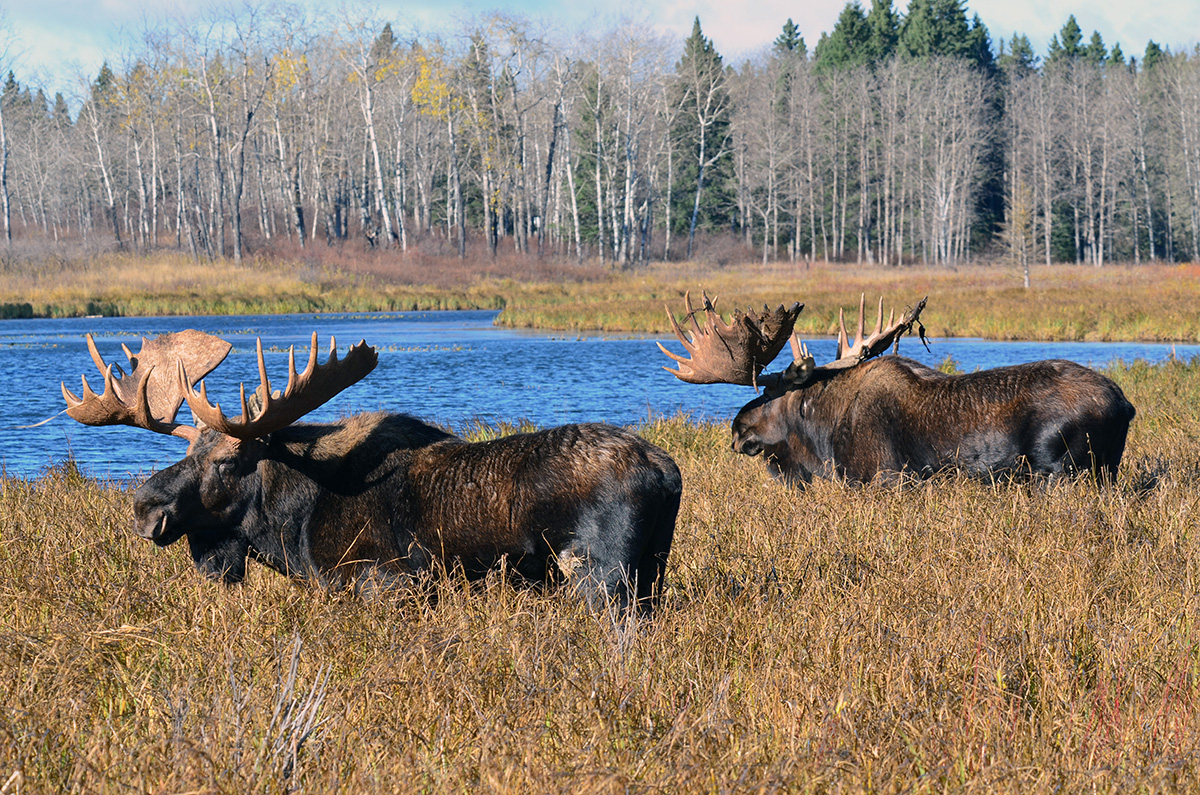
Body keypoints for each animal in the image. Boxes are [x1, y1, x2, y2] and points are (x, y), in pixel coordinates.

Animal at [65, 329, 681, 614]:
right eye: (189, 452)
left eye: (228, 461)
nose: (146, 507)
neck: (291, 525)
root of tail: (666, 471)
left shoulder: (384, 582)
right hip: (649, 570)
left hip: (602, 577)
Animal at [662, 289, 1137, 482]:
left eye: (766, 392)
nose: (736, 430)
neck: (819, 436)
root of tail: (1126, 405)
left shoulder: (883, 478)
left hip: (1058, 470)